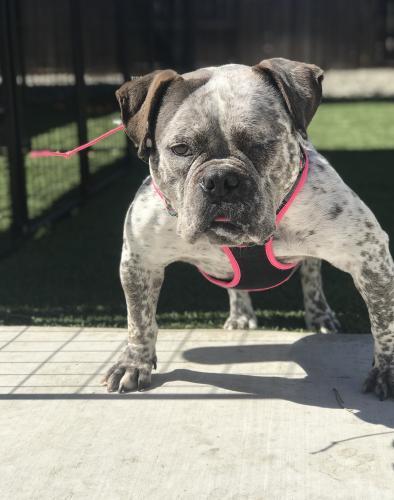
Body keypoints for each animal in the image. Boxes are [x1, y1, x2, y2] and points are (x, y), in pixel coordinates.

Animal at [102, 57, 394, 398]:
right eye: (181, 149)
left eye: (260, 143)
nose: (220, 180)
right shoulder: (140, 263)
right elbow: (139, 320)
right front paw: (135, 363)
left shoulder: (370, 259)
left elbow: (384, 321)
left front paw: (387, 371)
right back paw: (241, 314)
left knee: (311, 274)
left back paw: (319, 315)